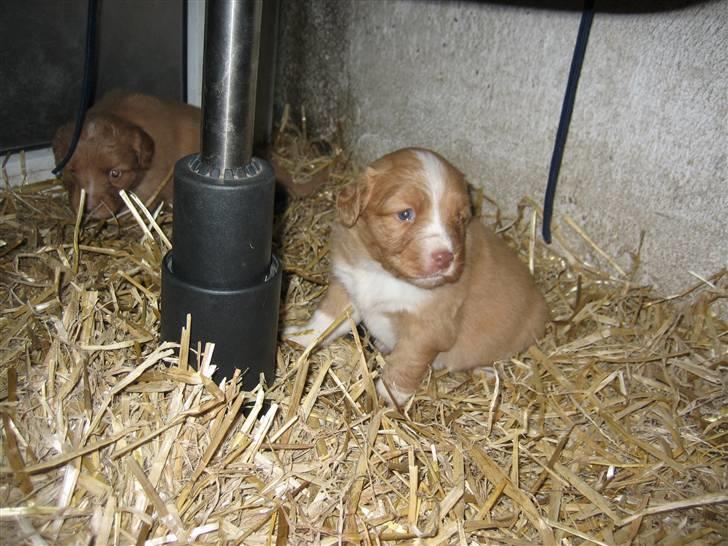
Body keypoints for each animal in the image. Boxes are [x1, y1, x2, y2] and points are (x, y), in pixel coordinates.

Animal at [288, 148, 548, 404]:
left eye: (459, 218)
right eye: (405, 214)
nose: (445, 257)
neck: (384, 274)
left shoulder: (427, 329)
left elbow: (405, 363)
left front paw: (388, 398)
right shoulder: (346, 285)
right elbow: (325, 318)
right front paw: (301, 338)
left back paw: (486, 372)